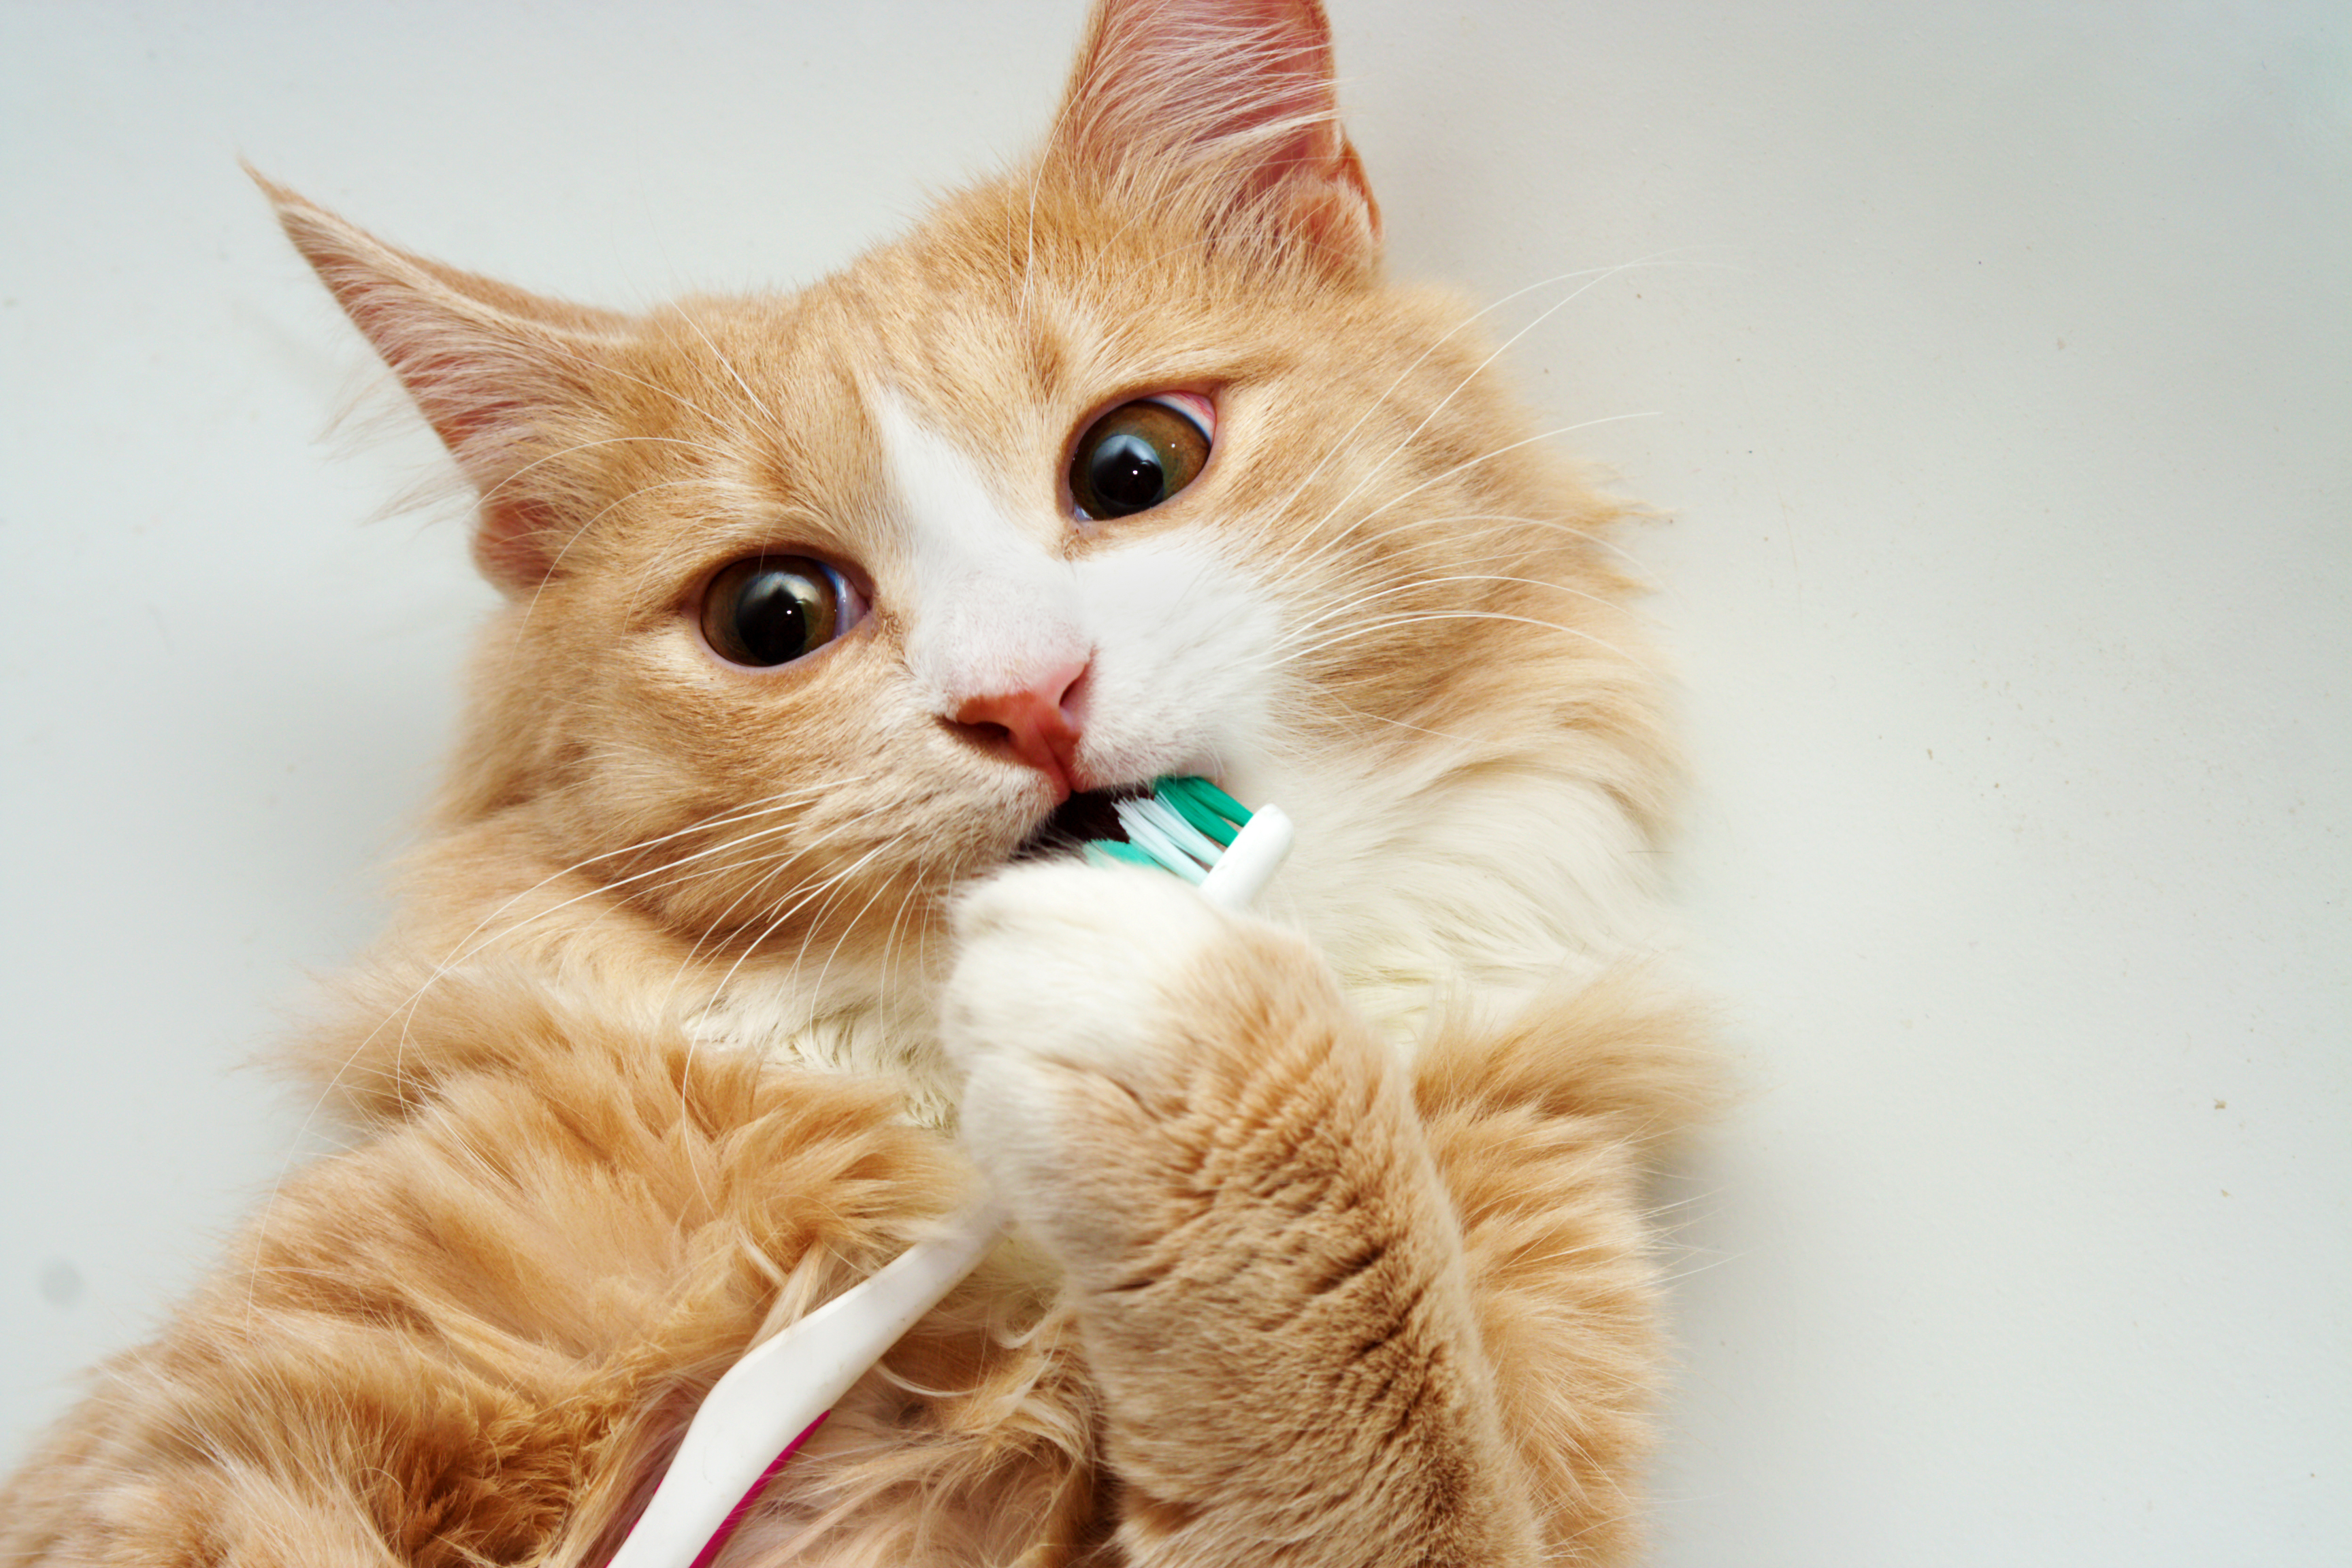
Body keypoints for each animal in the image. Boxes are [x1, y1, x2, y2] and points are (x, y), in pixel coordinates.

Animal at [9, 3, 1721, 1568]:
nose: (1024, 697)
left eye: (1136, 465)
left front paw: (1190, 1027)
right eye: (771, 617)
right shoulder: (209, 1457)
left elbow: (1398, 1424)